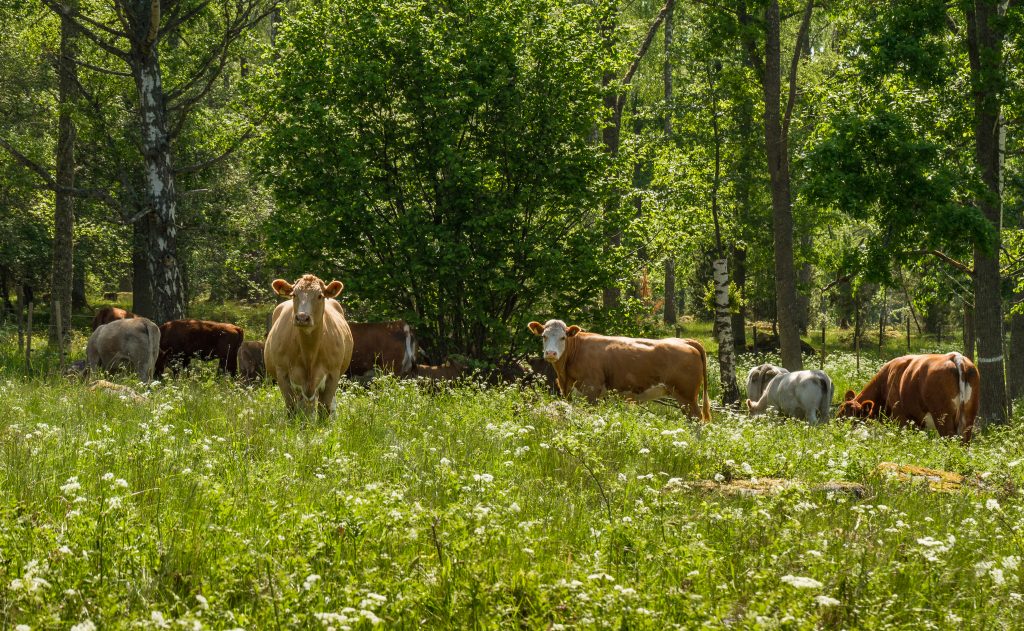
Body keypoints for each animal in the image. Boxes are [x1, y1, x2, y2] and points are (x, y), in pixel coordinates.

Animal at [262, 274, 354, 415]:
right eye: (294, 294)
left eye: (320, 295)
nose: (302, 317)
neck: (309, 354)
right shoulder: (282, 374)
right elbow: (291, 408)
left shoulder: (333, 374)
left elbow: (324, 409)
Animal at [524, 319, 708, 419]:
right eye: (544, 336)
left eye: (563, 337)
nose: (551, 353)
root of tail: (685, 341)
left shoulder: (591, 390)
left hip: (687, 395)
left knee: (697, 420)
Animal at [835, 352, 978, 440]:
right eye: (839, 412)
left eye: (852, 419)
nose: (837, 433)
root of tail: (955, 357)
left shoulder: (901, 418)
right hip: (968, 419)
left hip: (942, 417)